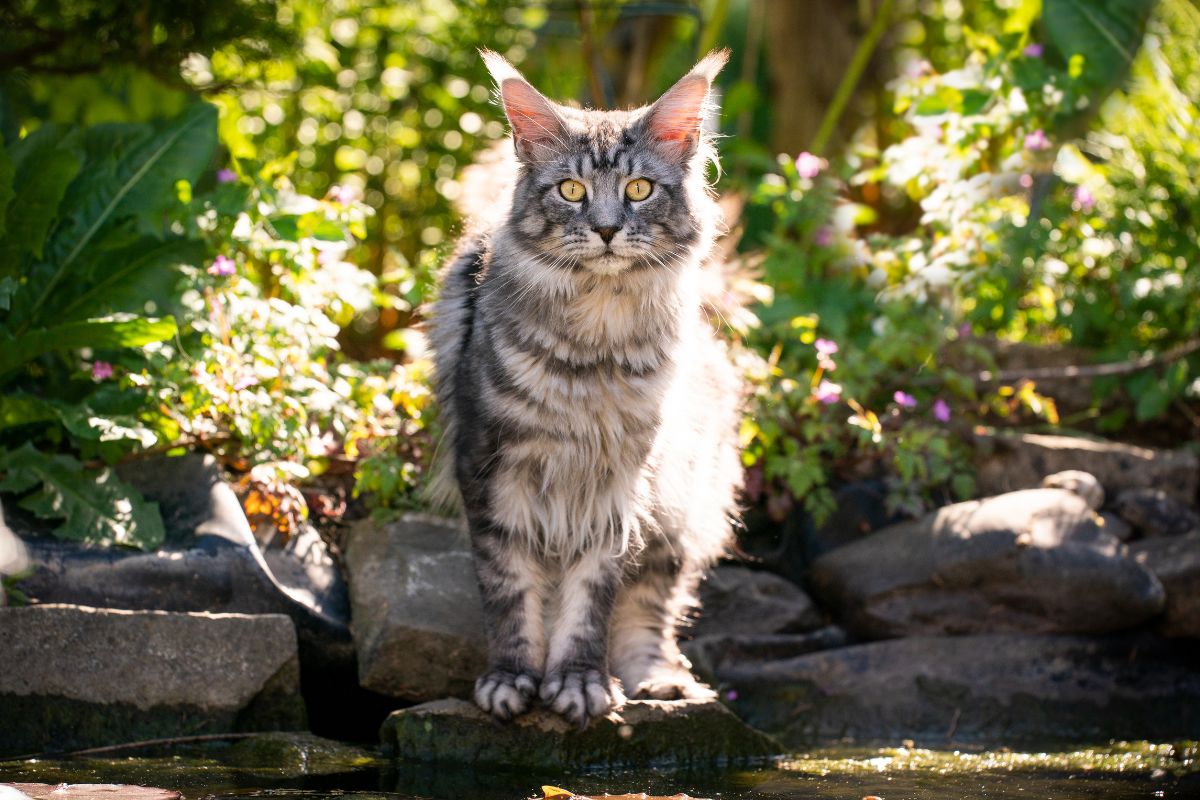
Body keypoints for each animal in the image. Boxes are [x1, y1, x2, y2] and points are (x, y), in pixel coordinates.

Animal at [427, 47, 734, 729]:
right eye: (571, 190)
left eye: (639, 189)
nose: (607, 229)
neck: (592, 350)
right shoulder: (492, 469)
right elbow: (511, 592)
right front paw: (512, 680)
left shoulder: (620, 483)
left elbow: (592, 598)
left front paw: (578, 684)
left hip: (679, 503)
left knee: (652, 606)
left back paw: (660, 681)